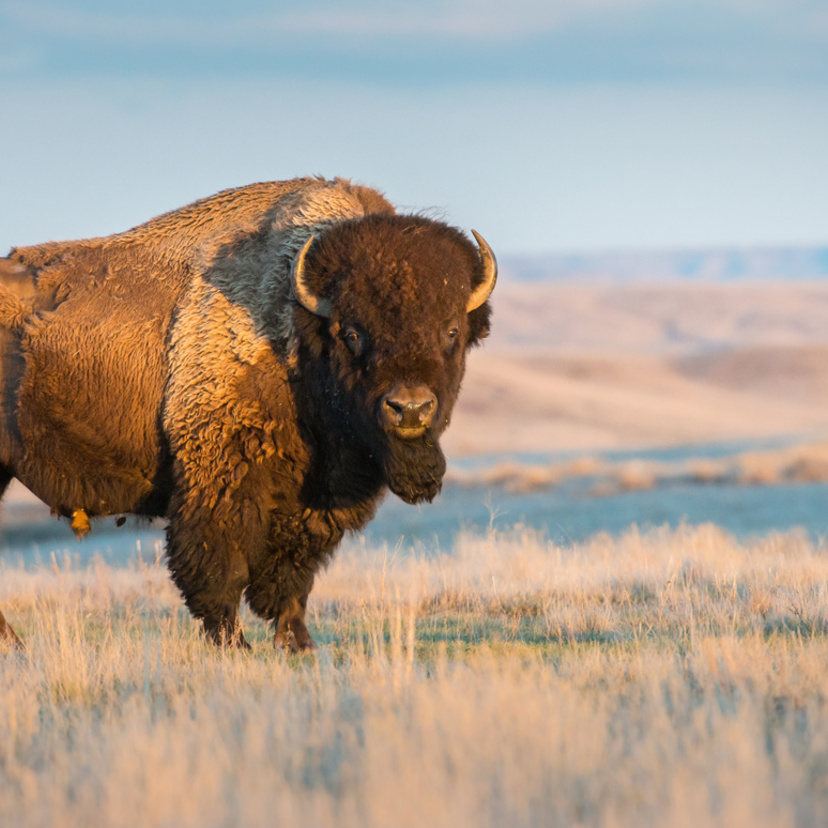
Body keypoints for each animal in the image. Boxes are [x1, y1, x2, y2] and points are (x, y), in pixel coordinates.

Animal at [0, 176, 492, 652]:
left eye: (451, 331)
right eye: (352, 332)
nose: (410, 408)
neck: (295, 328)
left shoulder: (312, 500)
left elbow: (292, 574)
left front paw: (299, 644)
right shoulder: (221, 479)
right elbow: (221, 568)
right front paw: (234, 645)